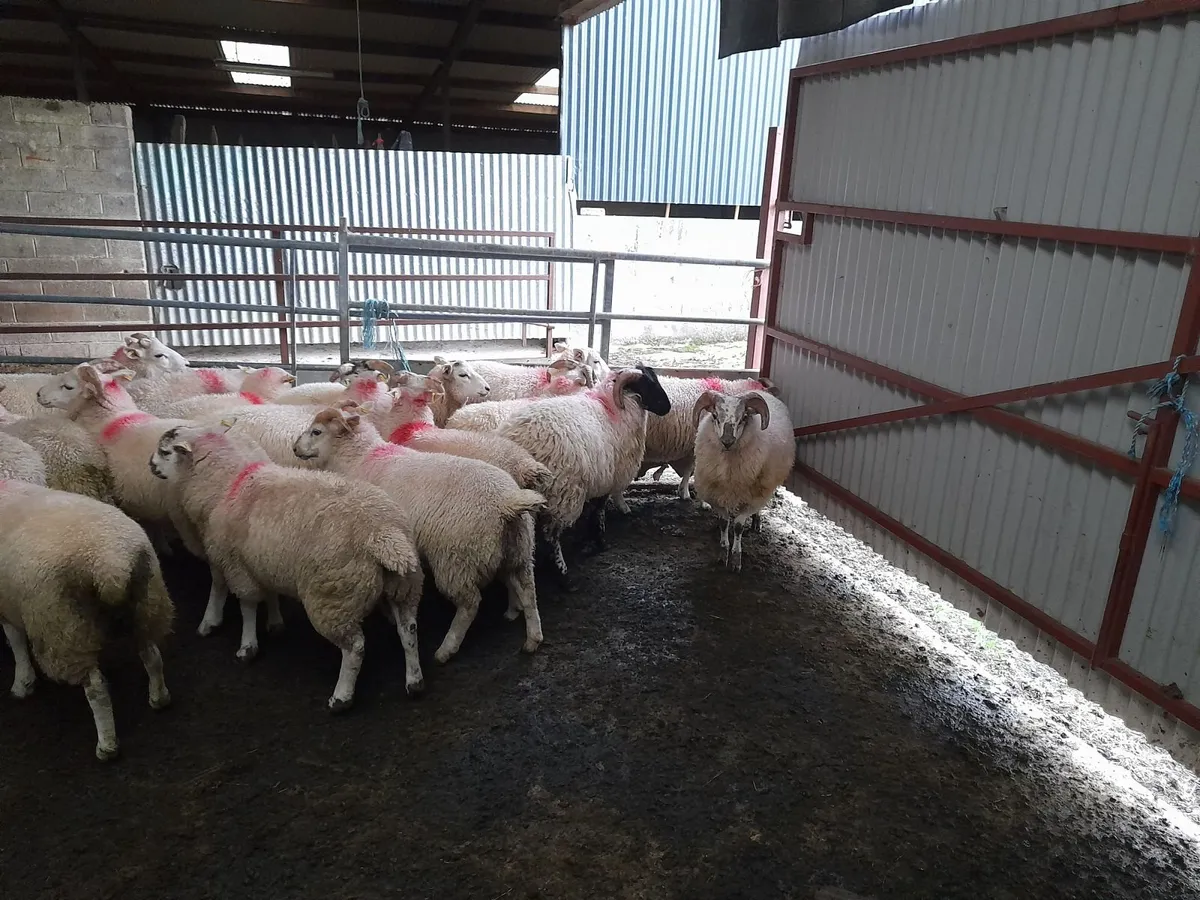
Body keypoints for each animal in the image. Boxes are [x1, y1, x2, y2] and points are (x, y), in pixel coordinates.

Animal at [0, 479, 173, 760]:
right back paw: (158, 698)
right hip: (147, 604)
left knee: (96, 690)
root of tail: (111, 566)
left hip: (64, 627)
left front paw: (22, 683)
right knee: (152, 655)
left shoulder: (6, 602)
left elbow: (15, 640)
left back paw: (107, 746)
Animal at [150, 424, 425, 705]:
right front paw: (273, 624)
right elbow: (262, 594)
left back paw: (341, 696)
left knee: (355, 647)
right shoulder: (261, 561)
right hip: (404, 587)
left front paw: (247, 645)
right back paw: (414, 681)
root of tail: (384, 535)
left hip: (335, 597)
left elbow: (246, 605)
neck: (227, 482)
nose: (151, 466)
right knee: (408, 630)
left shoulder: (235, 564)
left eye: (165, 451)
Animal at [294, 408, 545, 662]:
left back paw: (446, 648)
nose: (295, 448)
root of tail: (507, 502)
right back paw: (532, 638)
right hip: (519, 550)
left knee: (470, 604)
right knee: (528, 591)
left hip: (457, 560)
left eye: (316, 432)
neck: (359, 458)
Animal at [460, 366, 670, 580]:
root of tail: (522, 443)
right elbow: (599, 512)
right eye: (647, 384)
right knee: (550, 534)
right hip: (563, 494)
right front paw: (599, 541)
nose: (667, 407)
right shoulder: (609, 478)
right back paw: (561, 571)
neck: (612, 405)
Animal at [692, 389, 795, 572]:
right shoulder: (716, 495)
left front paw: (736, 559)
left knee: (758, 508)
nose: (727, 442)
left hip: (761, 490)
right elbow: (724, 523)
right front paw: (723, 553)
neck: (729, 473)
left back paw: (756, 521)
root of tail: (764, 391)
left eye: (743, 418)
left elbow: (738, 527)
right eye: (715, 416)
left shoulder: (750, 499)